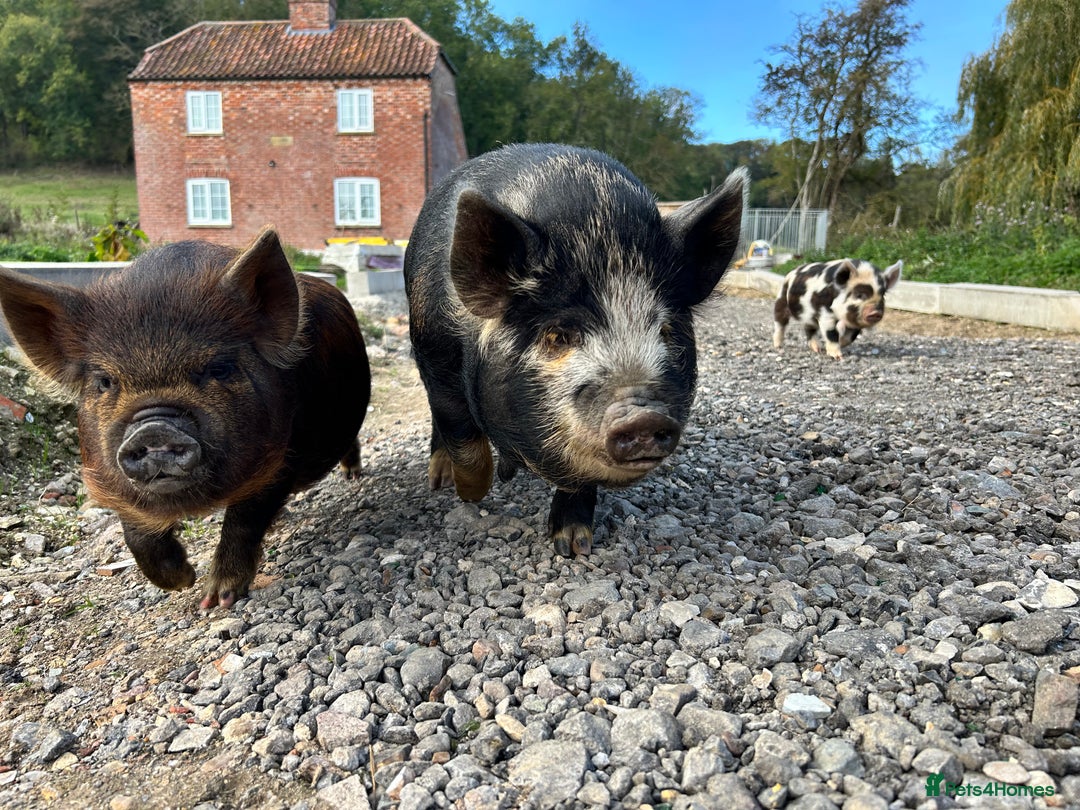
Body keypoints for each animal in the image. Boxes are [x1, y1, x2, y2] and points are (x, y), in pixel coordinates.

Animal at [0, 228, 370, 608]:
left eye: (219, 368)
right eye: (104, 381)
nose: (153, 429)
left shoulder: (283, 457)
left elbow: (244, 520)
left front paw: (215, 600)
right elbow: (136, 532)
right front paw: (180, 584)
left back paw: (353, 477)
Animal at [404, 143, 746, 556]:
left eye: (665, 330)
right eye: (558, 336)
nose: (643, 415)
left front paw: (573, 546)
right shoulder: (434, 353)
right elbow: (461, 432)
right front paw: (469, 494)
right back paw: (439, 480)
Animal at [772, 258, 902, 359]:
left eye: (883, 295)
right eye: (859, 295)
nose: (875, 312)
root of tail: (791, 272)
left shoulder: (853, 321)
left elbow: (851, 337)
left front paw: (840, 343)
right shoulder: (825, 314)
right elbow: (831, 333)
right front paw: (838, 357)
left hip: (808, 316)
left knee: (809, 329)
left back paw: (817, 349)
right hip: (781, 300)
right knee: (780, 323)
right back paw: (778, 346)